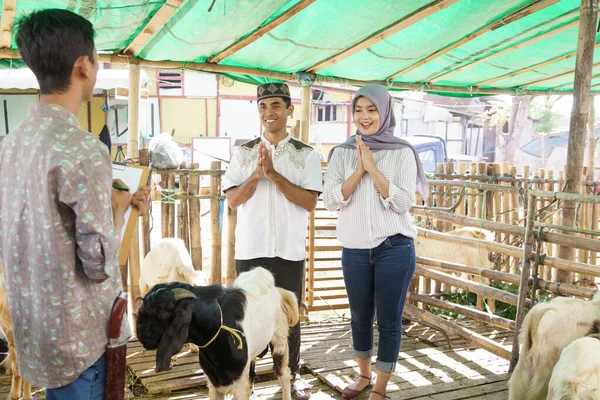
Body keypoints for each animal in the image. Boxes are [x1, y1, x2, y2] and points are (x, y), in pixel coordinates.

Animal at [134, 266, 298, 400]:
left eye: (163, 315)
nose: (143, 337)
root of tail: (277, 290)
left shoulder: (239, 384)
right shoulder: (214, 383)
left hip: (279, 340)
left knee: (283, 374)